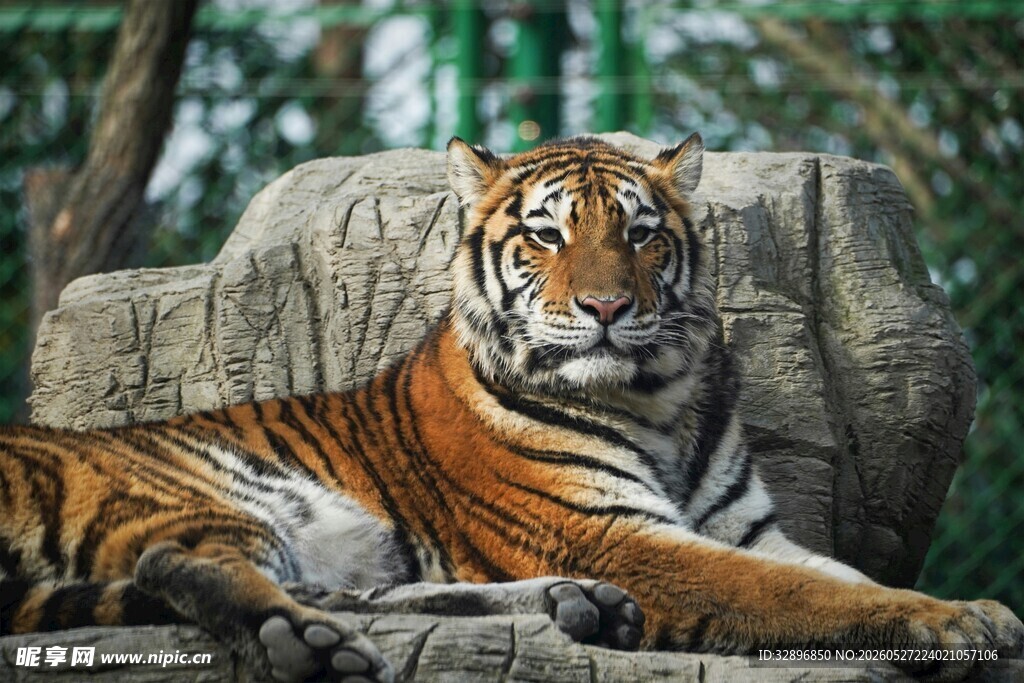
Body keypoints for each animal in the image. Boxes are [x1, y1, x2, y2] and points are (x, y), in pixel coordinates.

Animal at [1, 134, 1021, 683]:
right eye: (546, 234)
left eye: (641, 235)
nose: (607, 307)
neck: (659, 400)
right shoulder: (610, 530)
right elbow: (799, 592)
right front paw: (956, 624)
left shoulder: (745, 528)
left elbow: (838, 575)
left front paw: (971, 610)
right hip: (200, 485)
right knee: (184, 561)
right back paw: (306, 644)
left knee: (343, 588)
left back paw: (580, 608)